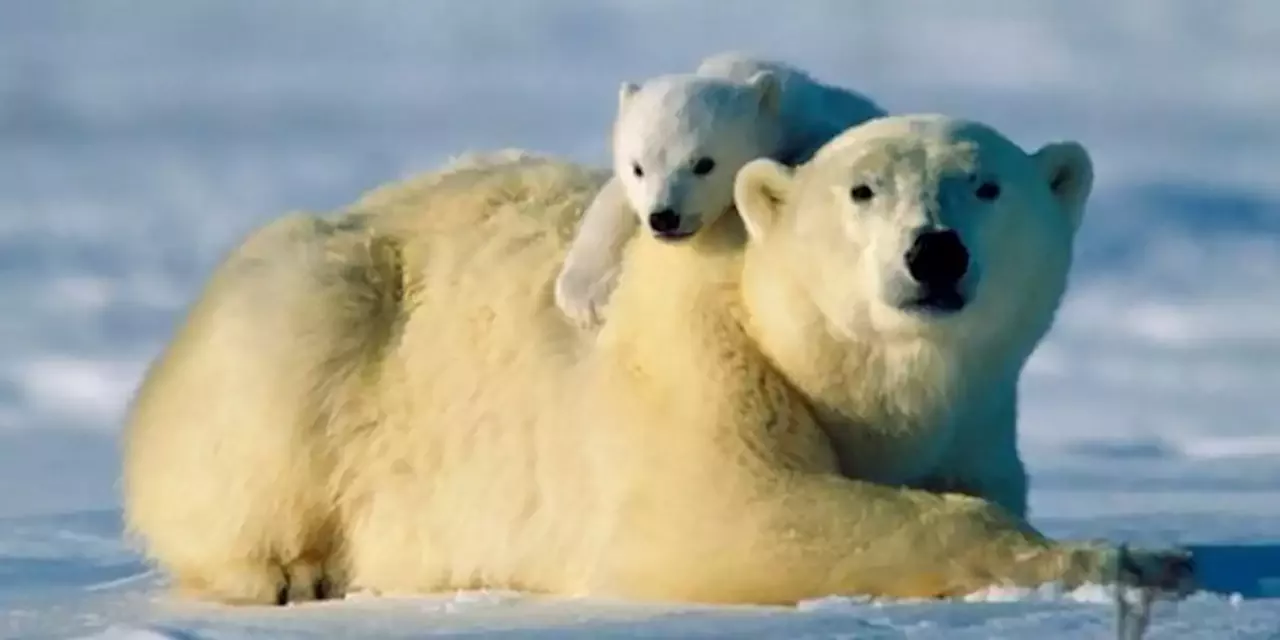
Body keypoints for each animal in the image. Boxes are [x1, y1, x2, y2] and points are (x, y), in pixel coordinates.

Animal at [120, 112, 1187, 606]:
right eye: (864, 190)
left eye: (988, 184)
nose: (936, 252)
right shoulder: (698, 362)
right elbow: (739, 513)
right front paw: (1141, 556)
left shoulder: (975, 419)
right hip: (314, 310)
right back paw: (287, 572)